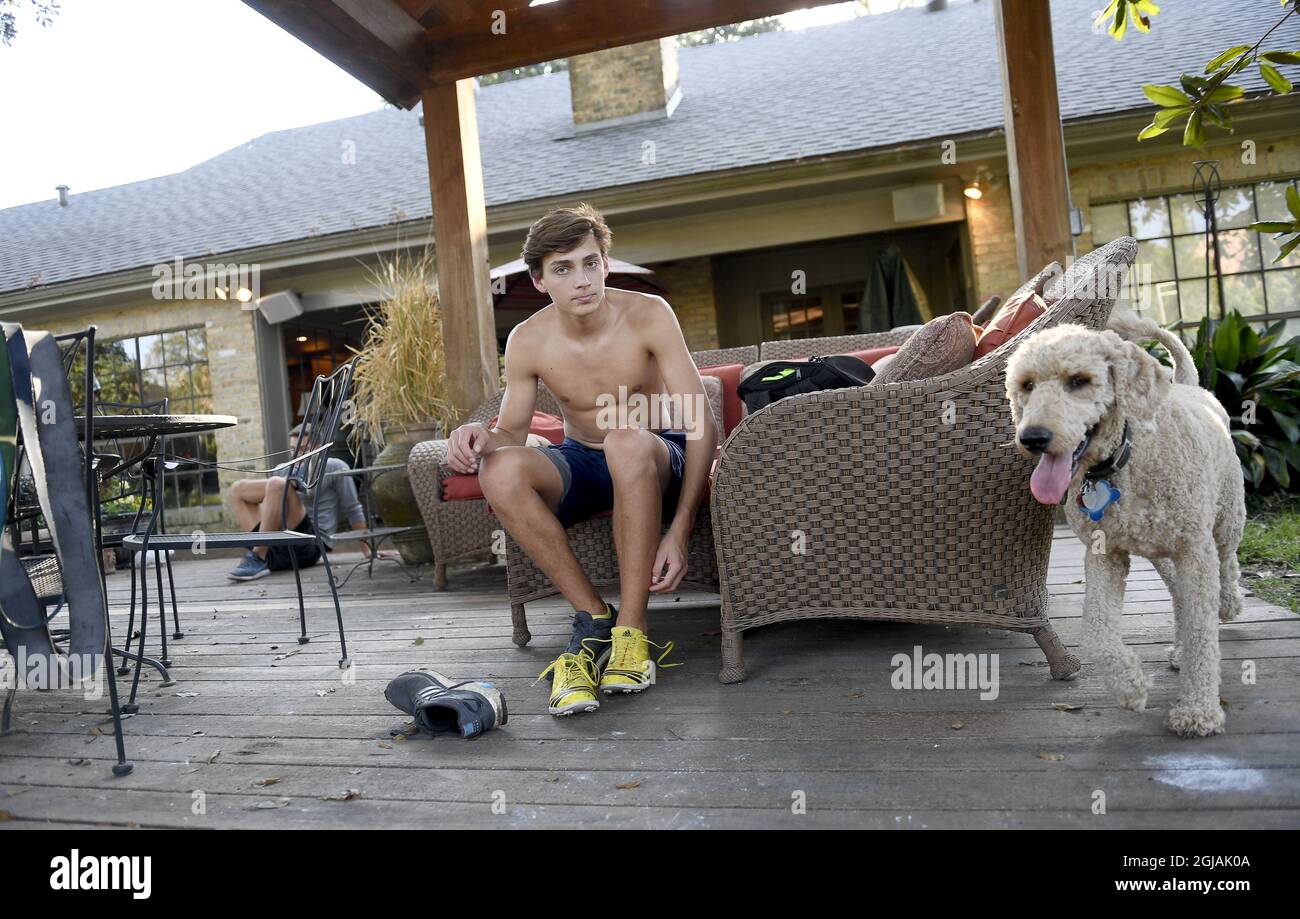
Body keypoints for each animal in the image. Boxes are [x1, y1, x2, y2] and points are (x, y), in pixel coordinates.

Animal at [1003, 313, 1237, 738]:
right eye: (1026, 384)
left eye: (1079, 379)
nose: (1032, 438)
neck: (1122, 460)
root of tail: (1190, 385)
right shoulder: (1104, 554)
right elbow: (1096, 631)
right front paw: (1130, 687)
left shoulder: (1195, 551)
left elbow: (1202, 630)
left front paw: (1198, 711)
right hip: (1162, 553)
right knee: (1180, 596)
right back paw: (1180, 648)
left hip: (1228, 516)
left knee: (1226, 563)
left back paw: (1228, 603)